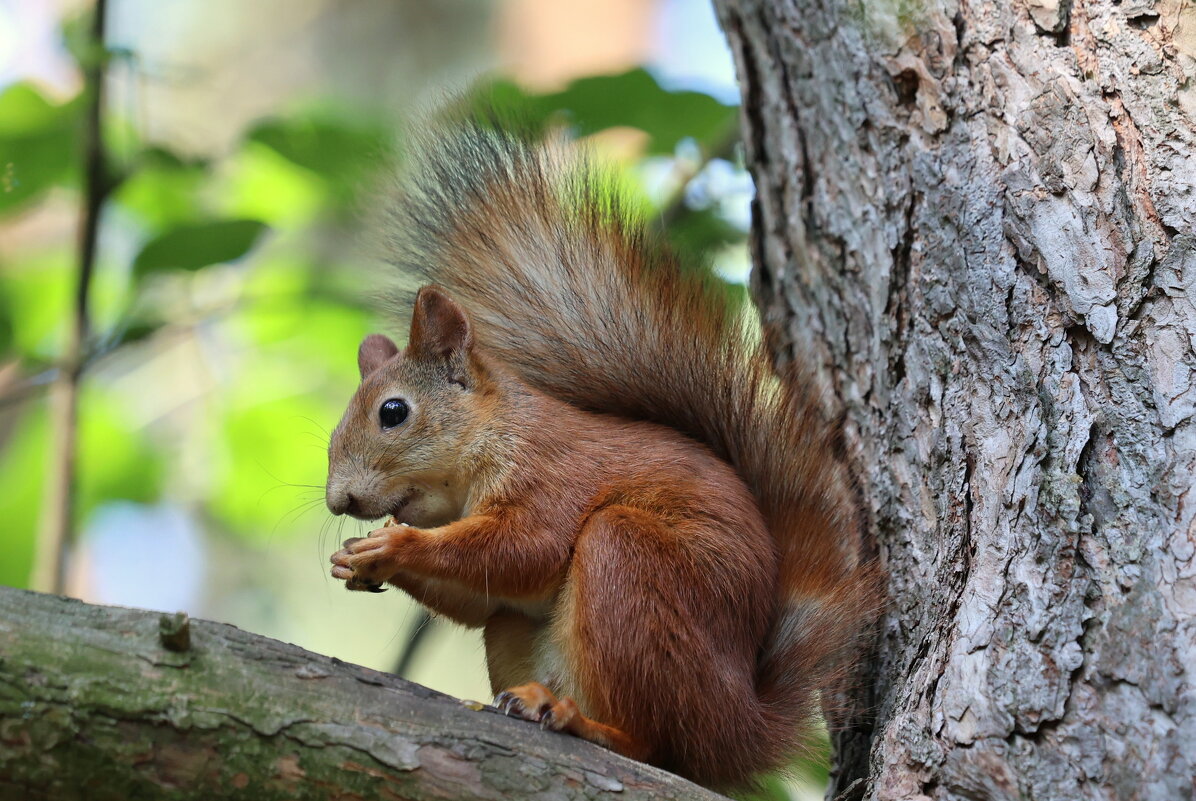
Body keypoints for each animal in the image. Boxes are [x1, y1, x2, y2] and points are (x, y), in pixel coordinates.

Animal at [322, 125, 885, 789]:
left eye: (393, 412)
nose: (338, 499)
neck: (489, 439)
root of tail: (738, 728)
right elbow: (482, 596)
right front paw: (356, 560)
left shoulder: (551, 473)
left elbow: (524, 548)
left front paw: (395, 544)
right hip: (523, 634)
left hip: (630, 564)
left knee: (654, 746)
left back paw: (580, 722)